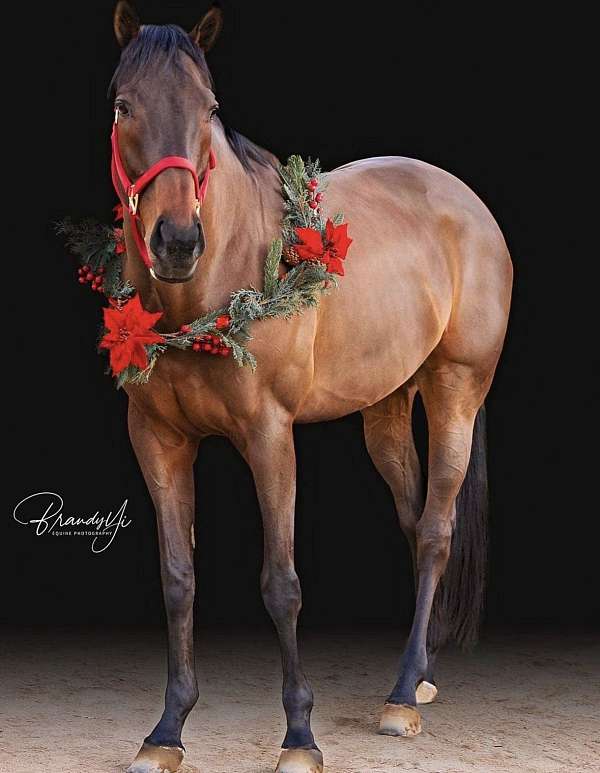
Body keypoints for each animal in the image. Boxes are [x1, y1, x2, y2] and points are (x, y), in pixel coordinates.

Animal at [108, 3, 513, 772]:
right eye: (122, 106)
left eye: (209, 108)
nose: (177, 241)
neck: (212, 290)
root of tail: (468, 203)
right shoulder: (157, 440)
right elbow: (178, 579)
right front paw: (167, 729)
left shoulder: (270, 437)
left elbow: (281, 584)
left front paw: (299, 735)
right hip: (386, 409)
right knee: (414, 522)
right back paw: (418, 676)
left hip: (457, 389)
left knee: (437, 530)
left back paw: (399, 700)